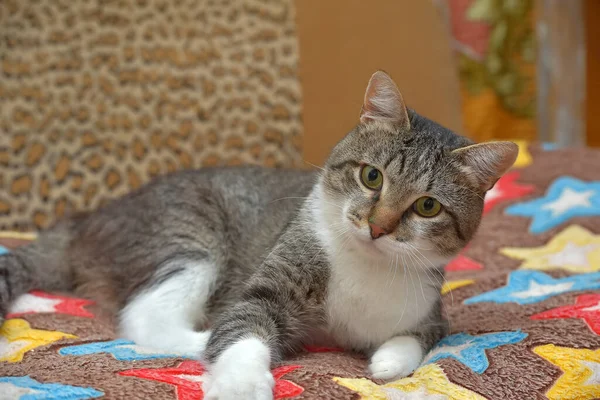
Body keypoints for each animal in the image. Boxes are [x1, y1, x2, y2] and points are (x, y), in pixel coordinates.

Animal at [0, 72, 516, 400]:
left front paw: (386, 361)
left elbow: (417, 339)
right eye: (372, 177)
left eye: (427, 206)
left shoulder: (427, 309)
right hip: (188, 235)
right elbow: (245, 322)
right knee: (147, 317)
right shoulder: (271, 281)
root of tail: (85, 219)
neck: (367, 265)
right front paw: (242, 384)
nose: (378, 227)